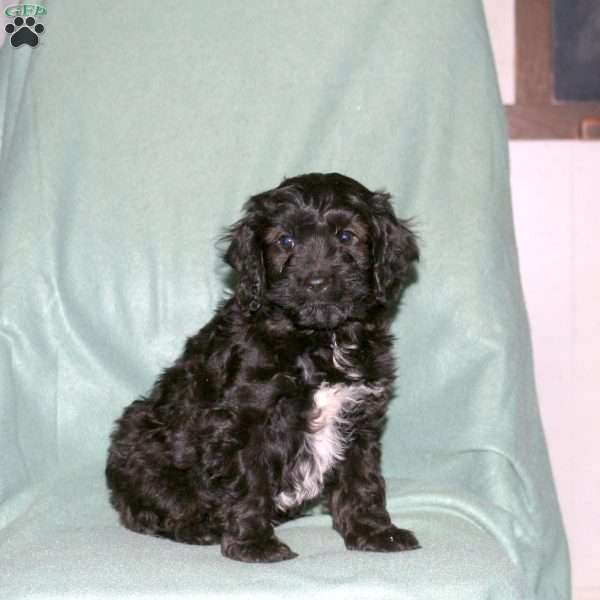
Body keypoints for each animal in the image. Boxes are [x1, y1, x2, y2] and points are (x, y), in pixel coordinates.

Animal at [105, 173, 420, 564]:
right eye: (286, 241)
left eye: (347, 237)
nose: (316, 282)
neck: (318, 340)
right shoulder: (244, 418)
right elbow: (249, 480)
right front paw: (253, 543)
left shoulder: (359, 415)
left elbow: (362, 479)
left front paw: (375, 532)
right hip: (138, 436)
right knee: (147, 507)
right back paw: (196, 526)